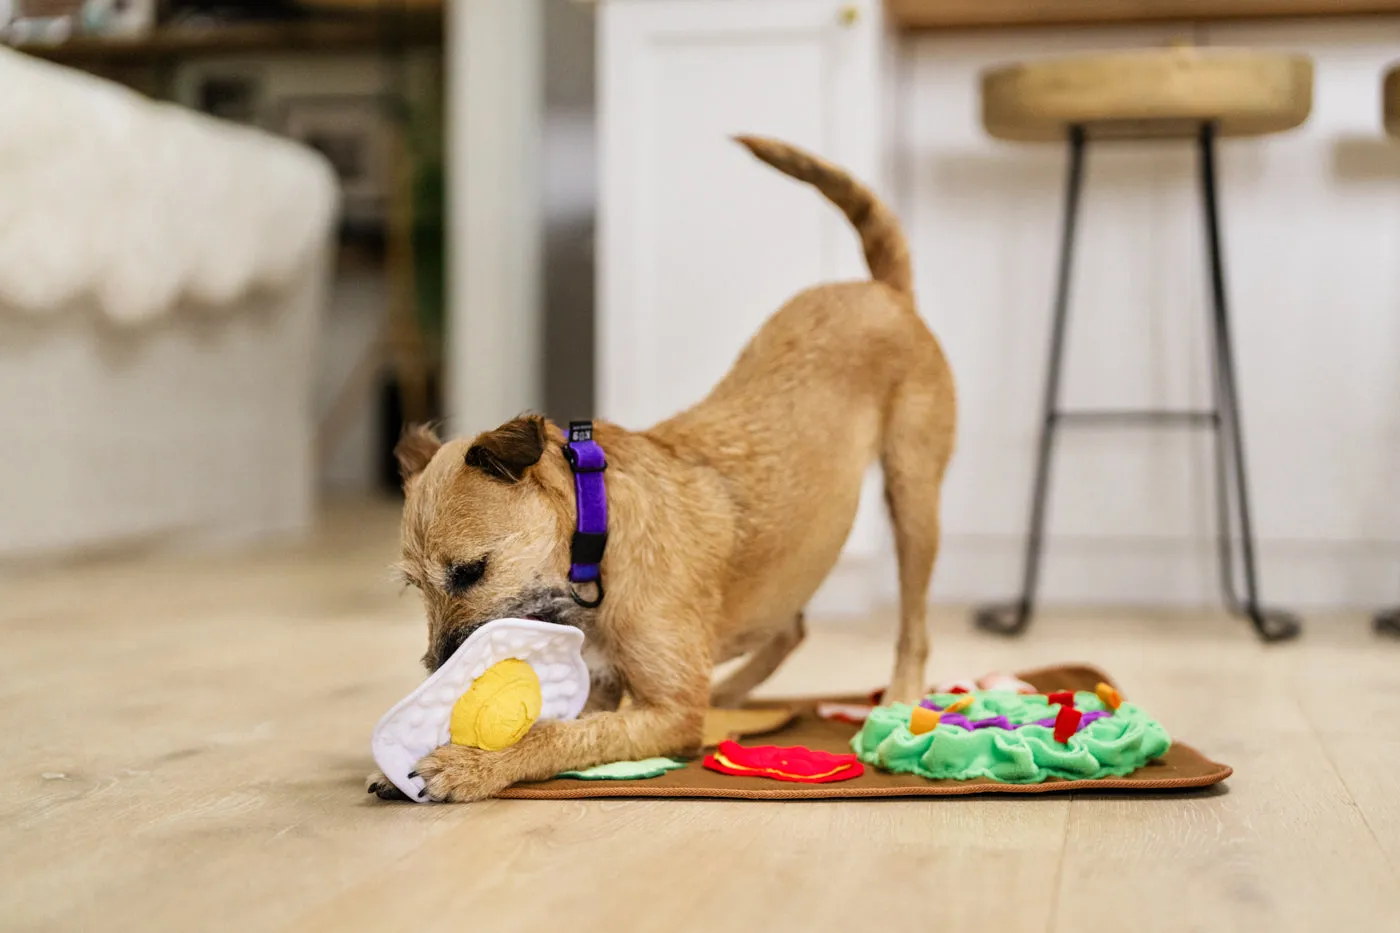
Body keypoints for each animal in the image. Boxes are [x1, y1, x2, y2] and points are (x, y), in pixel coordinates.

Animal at [366, 137, 957, 801]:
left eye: (471, 571)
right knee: (788, 629)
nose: (438, 671)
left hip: (913, 500)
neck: (597, 534)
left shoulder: (668, 713)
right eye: (415, 587)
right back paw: (731, 699)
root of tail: (884, 292)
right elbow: (566, 723)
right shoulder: (603, 688)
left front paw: (470, 764)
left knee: (912, 627)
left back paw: (896, 699)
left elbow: (553, 736)